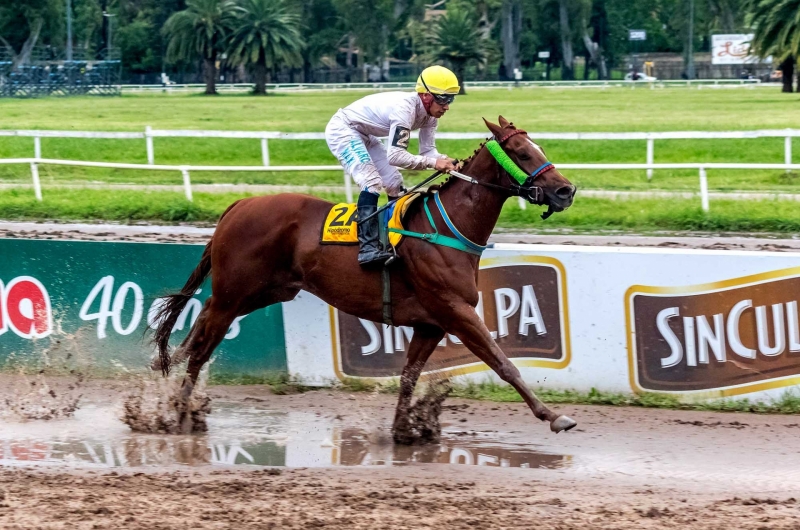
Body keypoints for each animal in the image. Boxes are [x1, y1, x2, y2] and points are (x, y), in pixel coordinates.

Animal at [152, 117, 576, 436]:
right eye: (523, 153)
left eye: (539, 148)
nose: (566, 191)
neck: (446, 229)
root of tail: (238, 205)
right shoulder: (456, 311)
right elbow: (504, 363)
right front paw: (554, 416)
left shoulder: (430, 324)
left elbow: (408, 376)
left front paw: (405, 429)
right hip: (236, 293)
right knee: (203, 347)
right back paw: (179, 411)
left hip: (265, 291)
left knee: (202, 317)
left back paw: (169, 373)